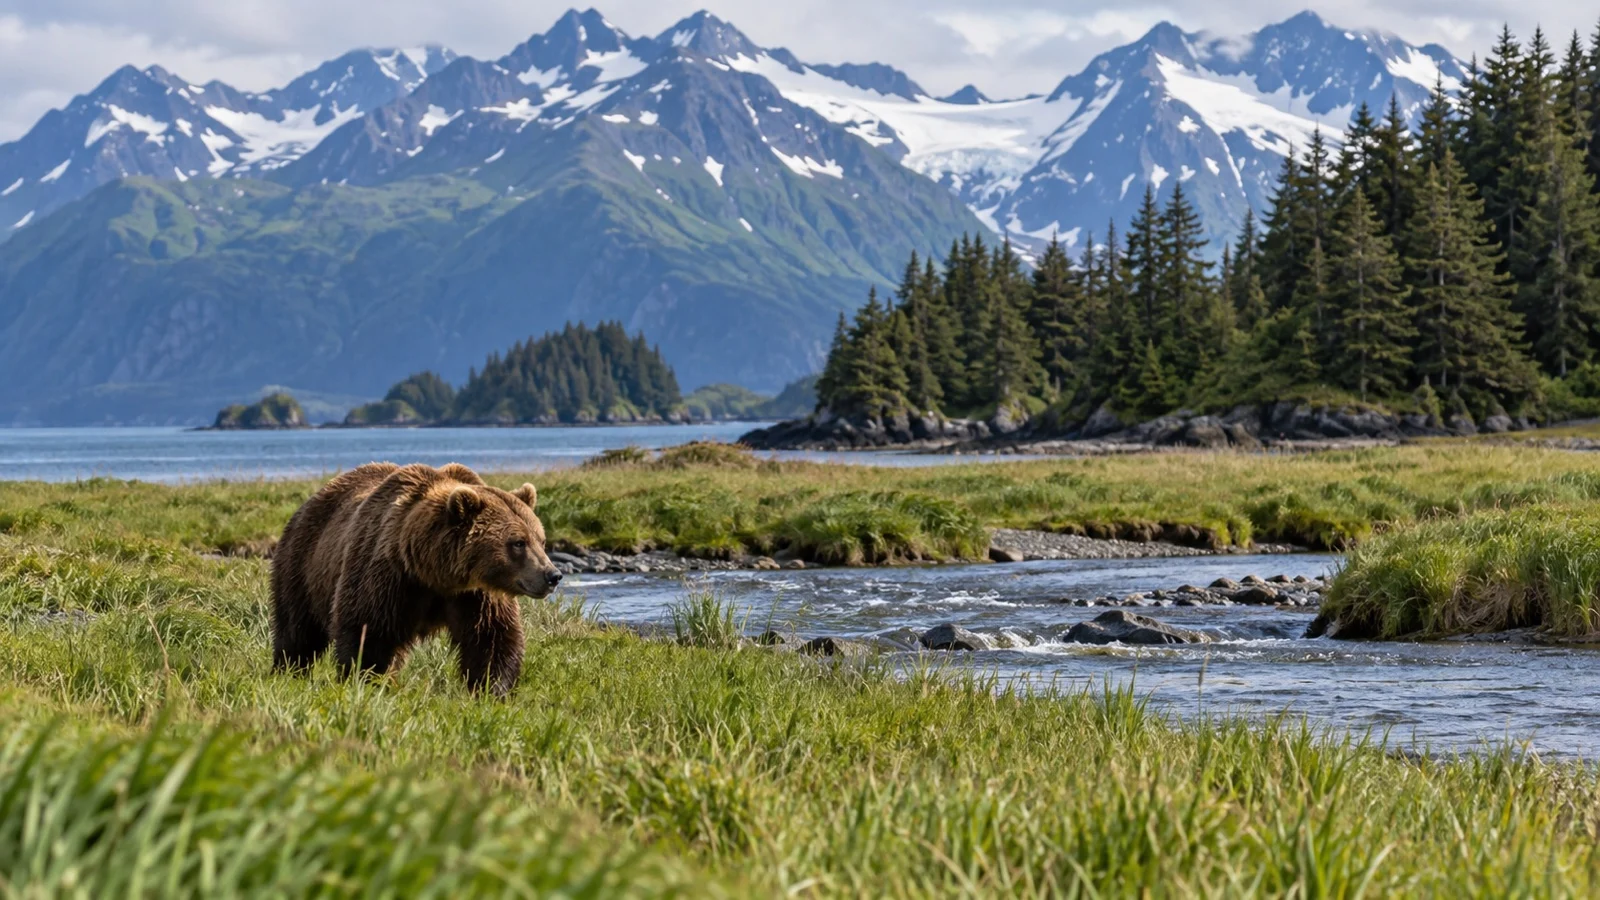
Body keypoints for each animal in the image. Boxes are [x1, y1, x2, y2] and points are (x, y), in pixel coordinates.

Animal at [269, 462, 562, 696]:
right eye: (518, 543)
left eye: (541, 540)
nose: (553, 575)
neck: (434, 574)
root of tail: (312, 499)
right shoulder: (388, 576)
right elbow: (367, 629)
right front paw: (367, 681)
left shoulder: (476, 595)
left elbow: (491, 637)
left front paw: (491, 689)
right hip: (302, 563)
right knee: (297, 629)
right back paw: (287, 671)